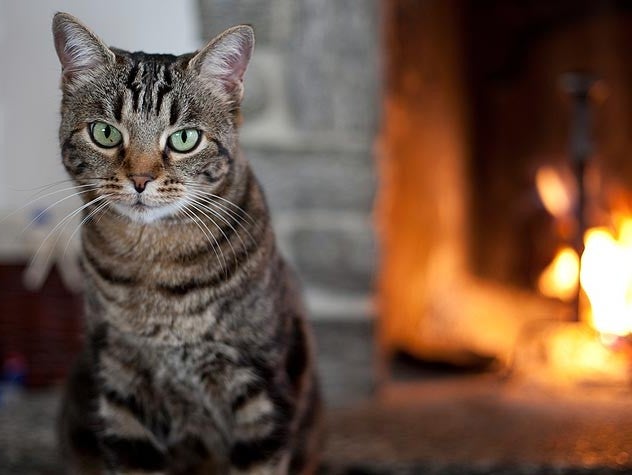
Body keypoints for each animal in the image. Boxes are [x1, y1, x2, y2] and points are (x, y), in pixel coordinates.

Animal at [51, 11, 324, 475]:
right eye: (105, 133)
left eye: (184, 139)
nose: (140, 179)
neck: (155, 262)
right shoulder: (121, 384)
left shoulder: (261, 391)